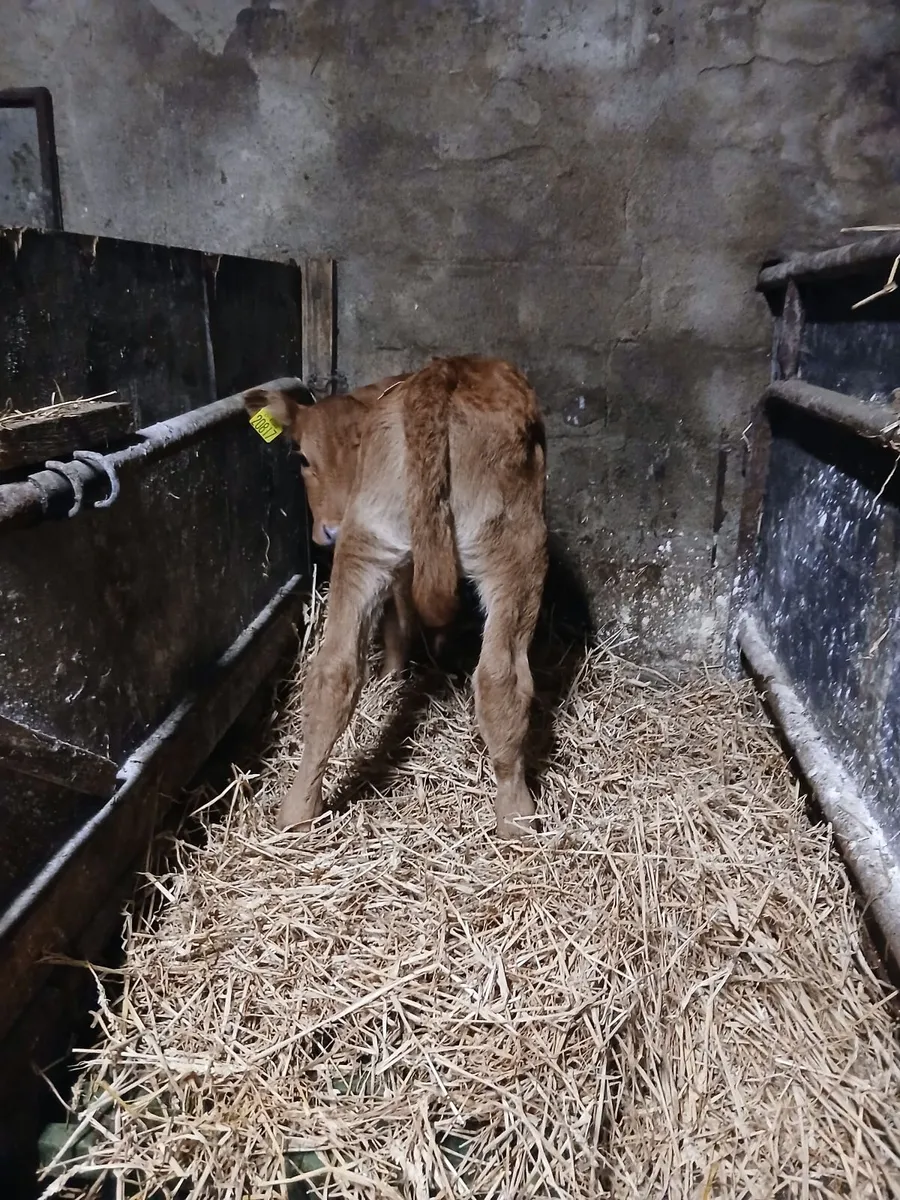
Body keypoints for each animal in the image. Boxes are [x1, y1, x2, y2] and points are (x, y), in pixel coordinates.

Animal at [243, 356, 548, 839]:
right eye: (304, 458)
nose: (330, 528)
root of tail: (443, 374)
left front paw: (390, 674)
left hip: (366, 542)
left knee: (333, 672)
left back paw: (297, 812)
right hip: (517, 548)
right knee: (501, 679)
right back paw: (517, 817)